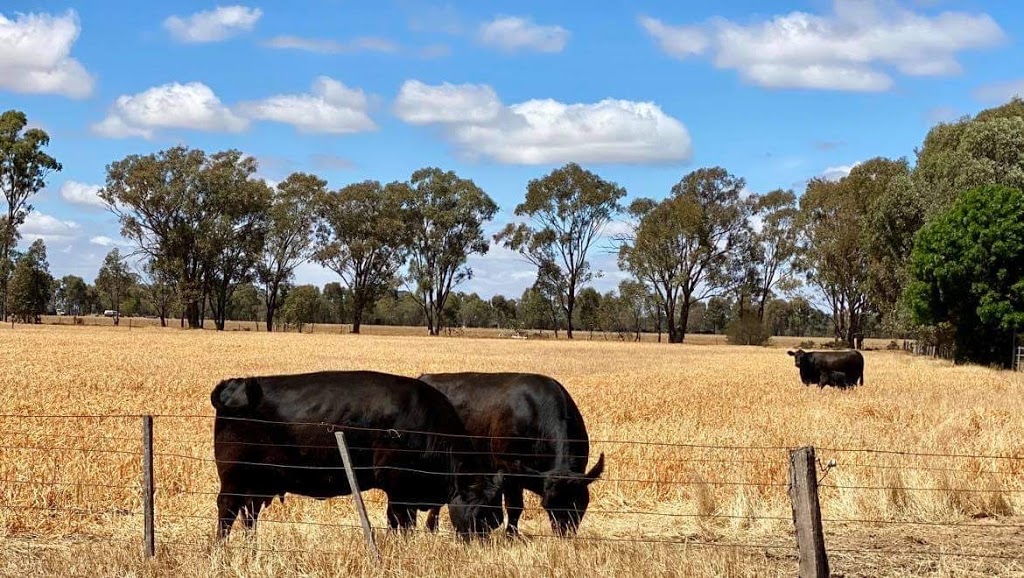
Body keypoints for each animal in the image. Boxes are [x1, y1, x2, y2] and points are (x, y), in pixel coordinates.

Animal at [210, 373, 503, 541]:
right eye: (481, 512)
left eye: (496, 517)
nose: (483, 545)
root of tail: (234, 385)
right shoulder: (399, 489)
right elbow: (402, 522)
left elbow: (396, 522)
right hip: (234, 479)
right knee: (227, 511)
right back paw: (222, 548)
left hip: (256, 483)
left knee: (249, 515)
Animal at [415, 373, 602, 537]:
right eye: (547, 505)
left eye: (580, 503)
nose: (565, 533)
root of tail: (424, 377)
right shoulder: (510, 471)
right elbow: (515, 507)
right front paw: (511, 536)